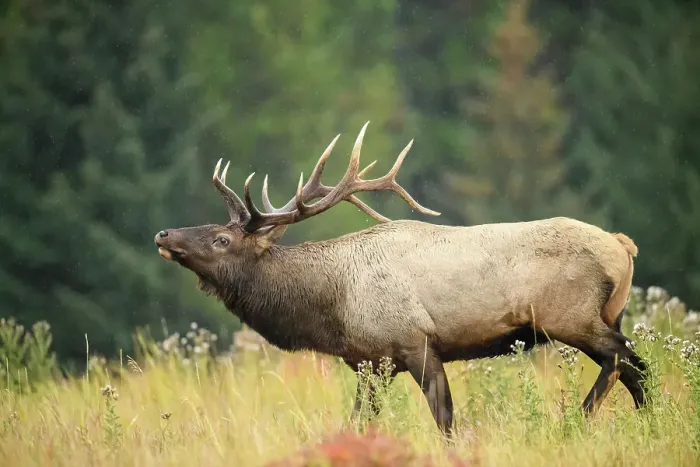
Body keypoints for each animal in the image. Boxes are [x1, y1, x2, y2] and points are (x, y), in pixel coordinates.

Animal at [154, 122, 647, 437]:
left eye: (220, 239)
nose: (163, 233)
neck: (332, 307)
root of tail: (623, 245)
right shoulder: (370, 362)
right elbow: (359, 419)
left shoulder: (416, 341)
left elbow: (444, 417)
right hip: (607, 315)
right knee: (635, 367)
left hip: (572, 316)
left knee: (622, 359)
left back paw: (578, 420)